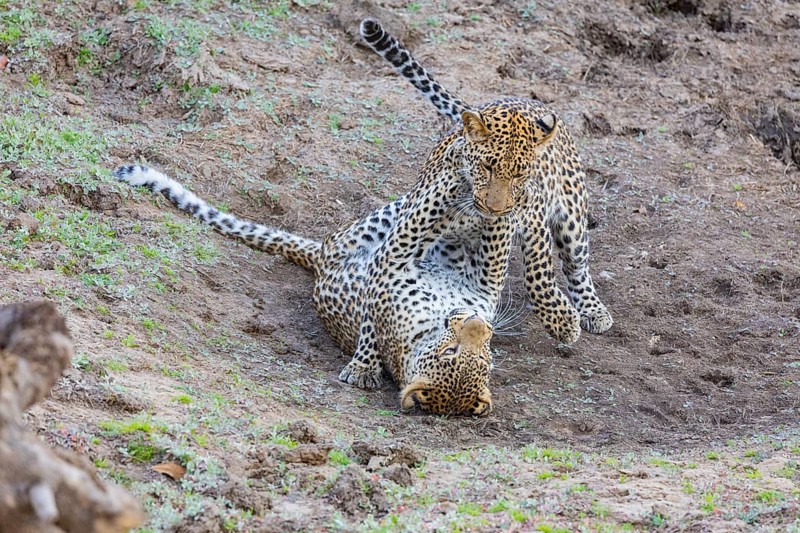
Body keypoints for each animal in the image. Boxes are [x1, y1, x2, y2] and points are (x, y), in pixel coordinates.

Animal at [113, 108, 558, 416]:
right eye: (451, 354)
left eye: (482, 360)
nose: (478, 324)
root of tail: (322, 255)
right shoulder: (398, 268)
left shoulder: (484, 281)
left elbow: (495, 231)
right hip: (381, 221)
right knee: (414, 207)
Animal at [360, 18, 614, 344]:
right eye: (486, 167)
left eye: (519, 174)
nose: (495, 209)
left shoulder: (533, 214)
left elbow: (539, 271)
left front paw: (561, 321)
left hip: (572, 219)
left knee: (576, 265)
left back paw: (593, 310)